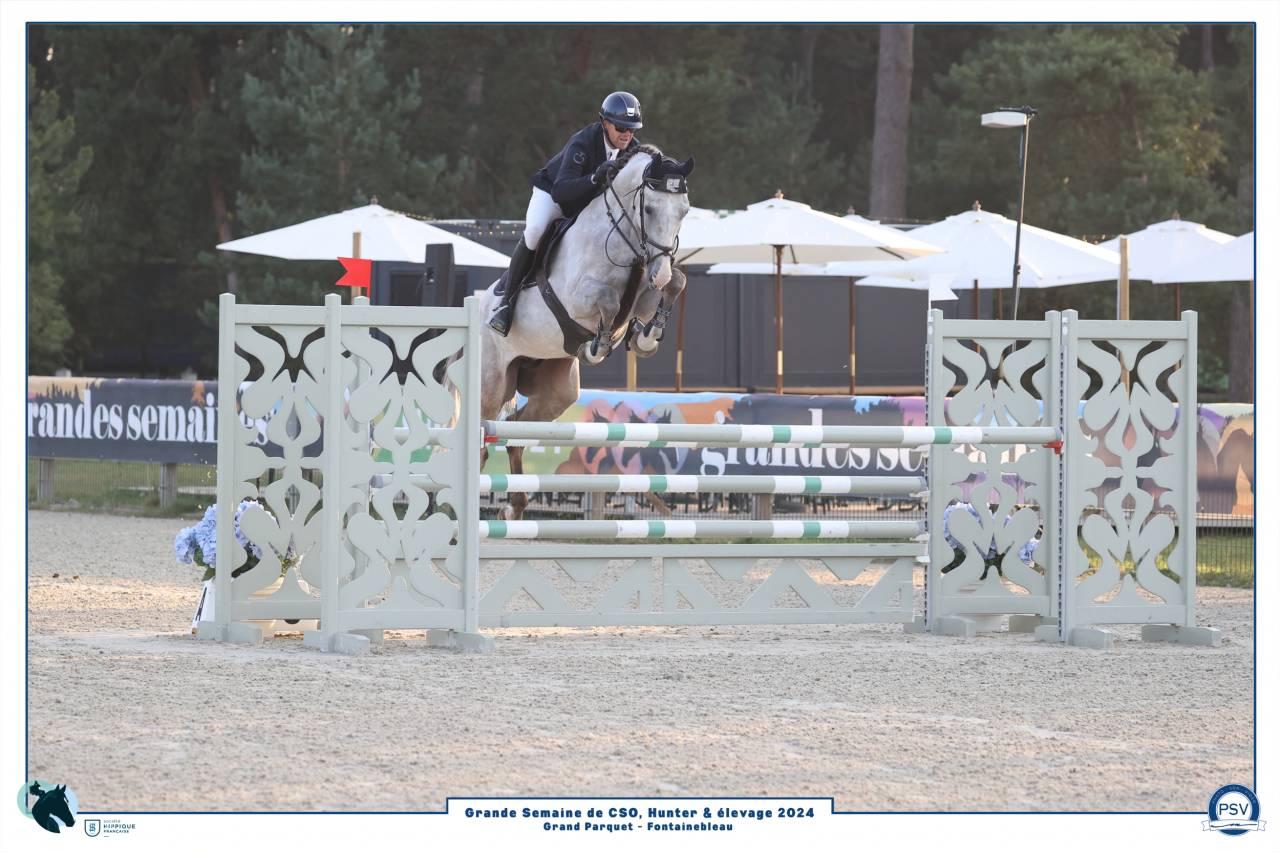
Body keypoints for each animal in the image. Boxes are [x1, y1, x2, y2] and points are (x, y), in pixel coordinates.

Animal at [475, 144, 694, 520]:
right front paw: (598, 346)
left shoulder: (645, 289)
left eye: (684, 211)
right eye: (649, 208)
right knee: (481, 438)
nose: (660, 271)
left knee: (517, 429)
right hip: (491, 384)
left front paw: (646, 337)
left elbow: (676, 284)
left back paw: (514, 508)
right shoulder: (578, 297)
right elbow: (607, 300)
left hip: (556, 392)